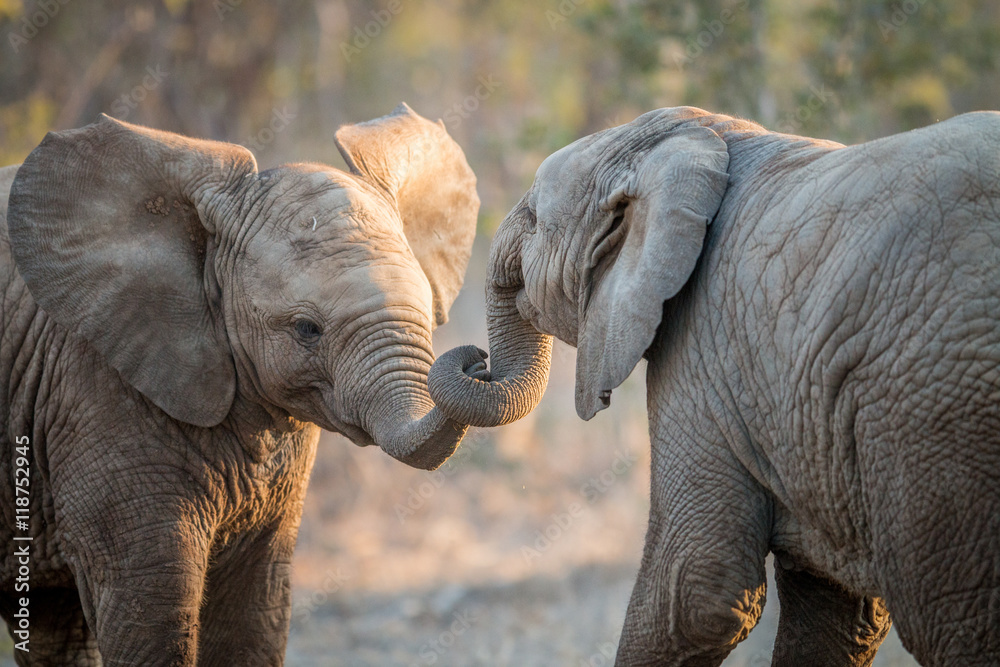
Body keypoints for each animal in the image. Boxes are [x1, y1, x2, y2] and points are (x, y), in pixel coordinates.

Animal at [0, 103, 479, 665]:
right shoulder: (90, 391)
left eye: (428, 309)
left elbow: (253, 613)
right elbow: (152, 615)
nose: (477, 361)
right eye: (307, 329)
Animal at [428, 106, 1000, 666]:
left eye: (533, 220)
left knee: (949, 619)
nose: (475, 360)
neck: (706, 136)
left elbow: (691, 591)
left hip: (933, 408)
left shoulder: (700, 347)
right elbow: (838, 611)